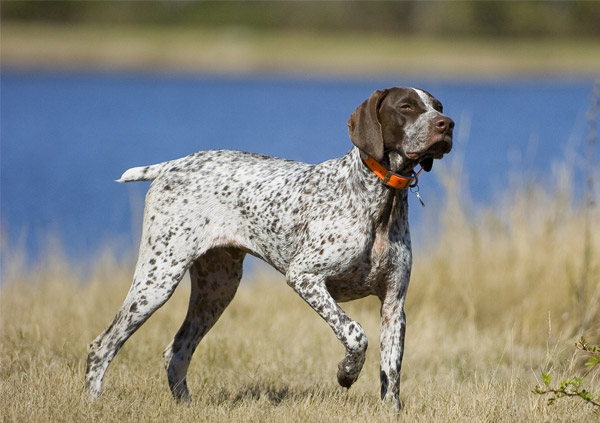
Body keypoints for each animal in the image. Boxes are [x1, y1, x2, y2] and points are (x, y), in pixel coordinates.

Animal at [85, 87, 454, 410]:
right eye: (406, 107)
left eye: (438, 106)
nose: (446, 124)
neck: (380, 199)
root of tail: (173, 164)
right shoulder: (304, 277)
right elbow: (354, 333)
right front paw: (346, 373)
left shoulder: (393, 305)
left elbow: (391, 375)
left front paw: (388, 410)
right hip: (157, 280)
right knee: (102, 345)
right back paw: (92, 403)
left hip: (216, 290)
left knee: (176, 352)